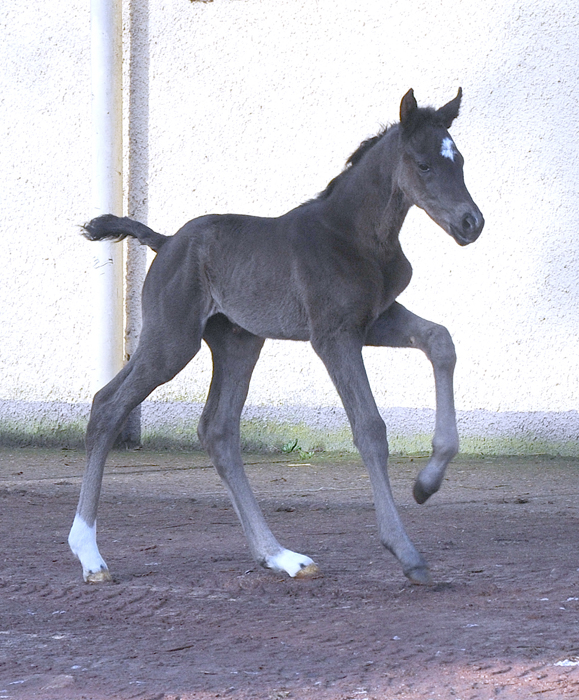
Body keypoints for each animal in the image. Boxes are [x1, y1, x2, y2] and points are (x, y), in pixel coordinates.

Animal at [69, 89, 484, 584]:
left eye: (460, 161)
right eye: (423, 165)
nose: (472, 223)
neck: (355, 234)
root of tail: (164, 241)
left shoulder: (375, 320)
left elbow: (441, 341)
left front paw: (426, 483)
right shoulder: (333, 335)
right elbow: (369, 428)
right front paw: (406, 552)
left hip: (238, 341)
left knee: (218, 430)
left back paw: (281, 556)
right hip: (172, 340)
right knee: (108, 406)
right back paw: (89, 555)